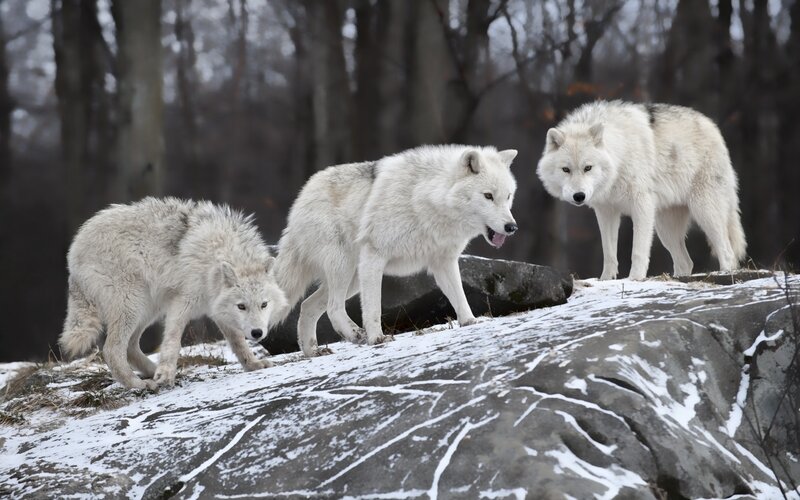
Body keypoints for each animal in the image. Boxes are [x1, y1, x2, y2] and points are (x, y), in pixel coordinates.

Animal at [59, 197, 288, 390]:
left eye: (264, 304)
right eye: (242, 306)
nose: (257, 333)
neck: (215, 257)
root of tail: (73, 251)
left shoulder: (217, 309)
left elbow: (238, 343)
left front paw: (253, 365)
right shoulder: (181, 302)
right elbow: (172, 342)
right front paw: (166, 374)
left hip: (148, 308)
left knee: (131, 348)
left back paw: (153, 372)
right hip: (133, 305)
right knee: (112, 350)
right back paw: (138, 384)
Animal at [272, 145, 519, 357]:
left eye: (508, 196)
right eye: (488, 196)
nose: (512, 227)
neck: (426, 199)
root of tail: (302, 196)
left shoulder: (443, 262)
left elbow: (459, 297)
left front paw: (470, 322)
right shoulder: (374, 256)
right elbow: (373, 308)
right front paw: (377, 339)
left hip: (353, 278)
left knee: (308, 305)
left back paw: (312, 351)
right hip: (345, 267)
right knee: (333, 307)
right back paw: (355, 335)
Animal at [537, 100, 746, 280]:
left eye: (588, 168)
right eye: (566, 169)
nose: (579, 196)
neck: (620, 156)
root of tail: (712, 125)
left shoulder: (642, 205)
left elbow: (638, 251)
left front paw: (635, 278)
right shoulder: (606, 211)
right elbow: (609, 252)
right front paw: (606, 279)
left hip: (704, 212)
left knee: (727, 252)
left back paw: (725, 273)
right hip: (665, 228)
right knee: (686, 262)